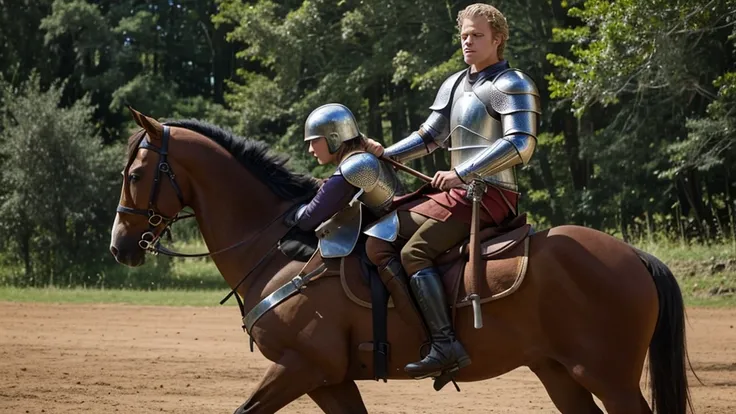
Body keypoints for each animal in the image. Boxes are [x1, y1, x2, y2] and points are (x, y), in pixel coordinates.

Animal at [108, 108, 688, 412]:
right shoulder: (329, 380)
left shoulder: (300, 367)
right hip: (559, 372)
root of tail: (633, 255)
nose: (120, 245)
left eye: (135, 174)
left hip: (607, 376)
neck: (280, 248)